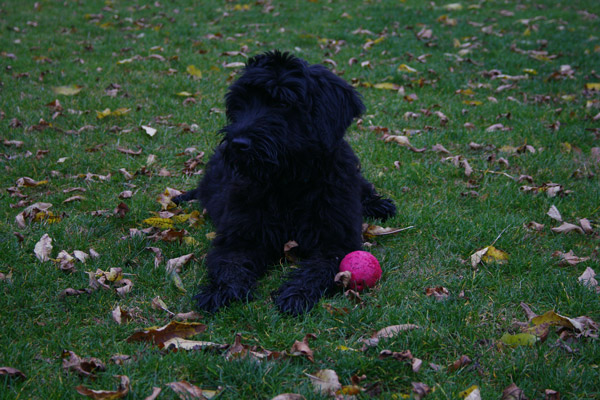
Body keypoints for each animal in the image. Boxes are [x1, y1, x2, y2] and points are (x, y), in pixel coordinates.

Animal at [174, 51, 396, 315]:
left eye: (281, 103)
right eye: (240, 103)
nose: (238, 144)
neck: (289, 185)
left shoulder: (337, 240)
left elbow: (319, 268)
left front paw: (297, 293)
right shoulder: (239, 236)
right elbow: (230, 264)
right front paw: (222, 291)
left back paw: (378, 205)